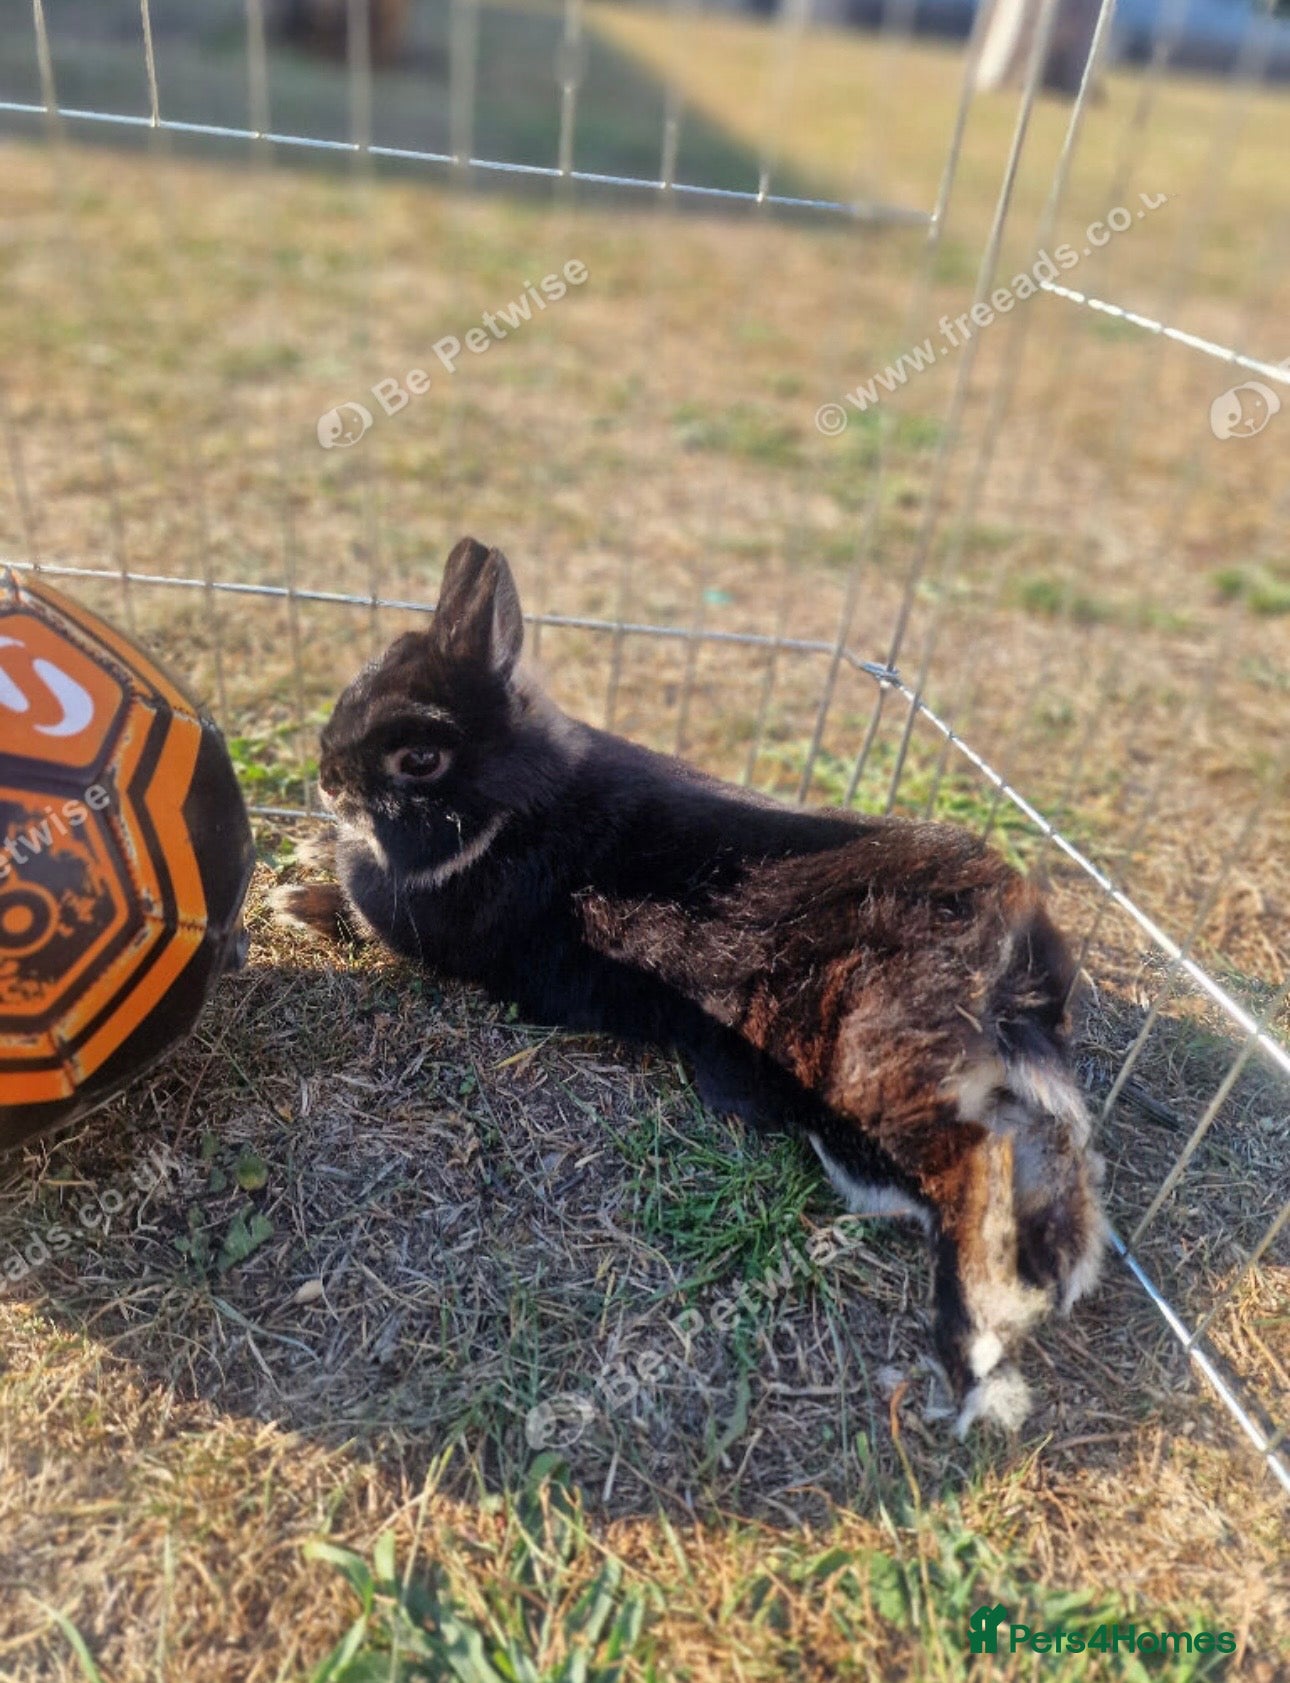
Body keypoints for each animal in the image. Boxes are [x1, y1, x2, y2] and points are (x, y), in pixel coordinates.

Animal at [274, 536, 1105, 1434]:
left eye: (419, 758)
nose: (327, 780)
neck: (509, 805)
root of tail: (1010, 953)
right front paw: (305, 865)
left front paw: (300, 898)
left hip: (869, 1076)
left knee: (971, 1162)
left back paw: (971, 1337)